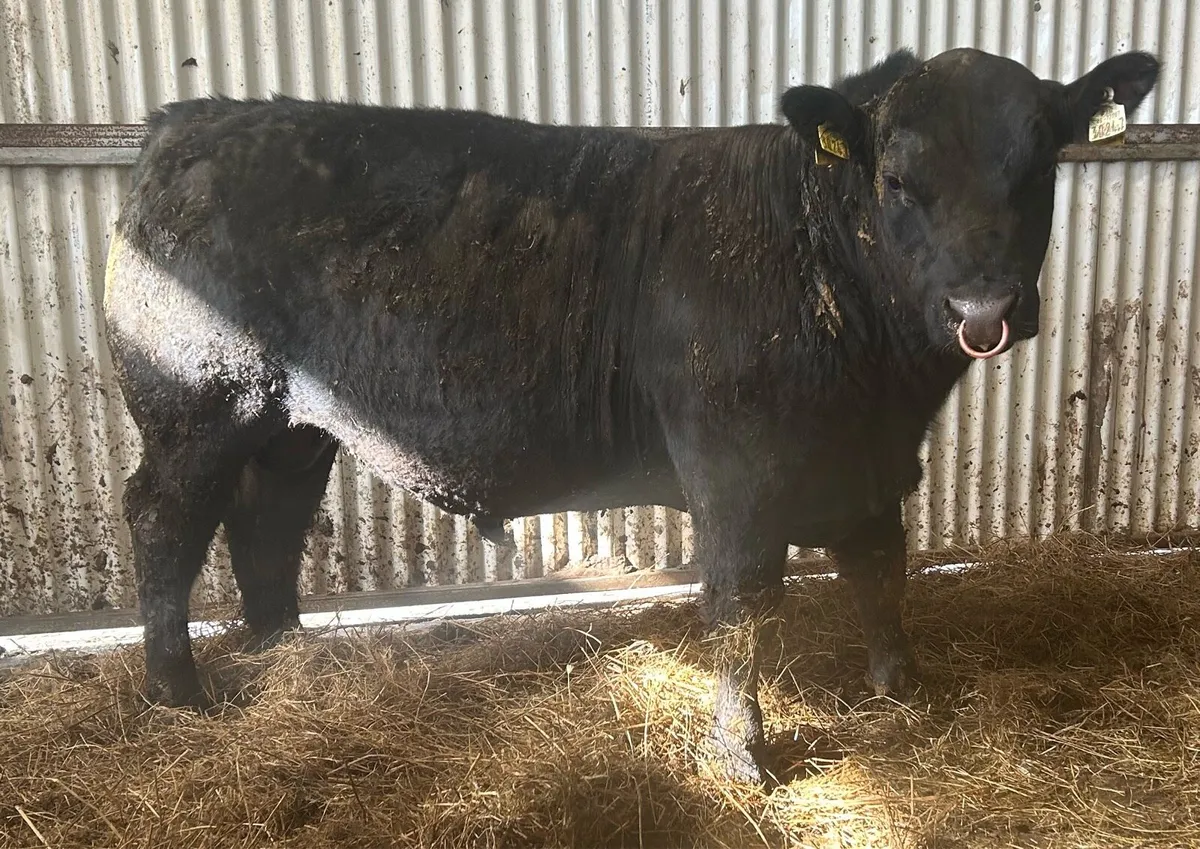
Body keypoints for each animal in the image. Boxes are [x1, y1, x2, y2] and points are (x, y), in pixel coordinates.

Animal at [102, 46, 1159, 785]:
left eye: (1040, 165)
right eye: (897, 179)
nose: (984, 308)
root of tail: (187, 125)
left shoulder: (872, 465)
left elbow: (880, 567)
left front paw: (903, 689)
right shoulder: (737, 473)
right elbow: (742, 604)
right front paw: (741, 756)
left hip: (289, 420)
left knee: (267, 523)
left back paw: (286, 659)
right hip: (197, 403)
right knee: (166, 520)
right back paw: (180, 691)